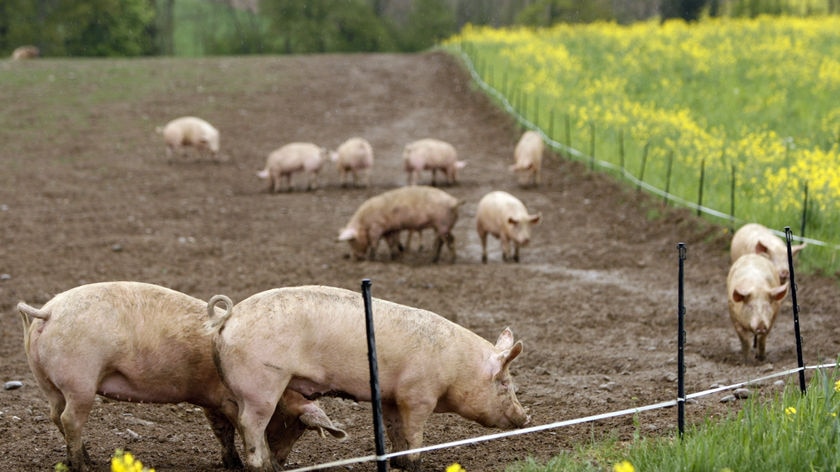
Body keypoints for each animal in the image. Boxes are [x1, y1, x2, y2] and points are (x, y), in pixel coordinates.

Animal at [16, 282, 344, 470]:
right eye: (294, 427)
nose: (281, 464)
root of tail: (48, 312)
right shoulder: (229, 401)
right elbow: (239, 430)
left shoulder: (212, 401)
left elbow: (221, 432)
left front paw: (231, 463)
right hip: (80, 380)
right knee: (70, 419)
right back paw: (83, 467)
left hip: (47, 381)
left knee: (55, 416)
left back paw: (85, 459)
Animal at [207, 284, 528, 472]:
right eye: (504, 383)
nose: (525, 417)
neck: (456, 366)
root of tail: (228, 317)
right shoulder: (417, 396)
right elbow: (415, 433)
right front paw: (416, 464)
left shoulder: (391, 398)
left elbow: (396, 432)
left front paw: (399, 463)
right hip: (261, 386)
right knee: (251, 425)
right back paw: (262, 467)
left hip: (246, 390)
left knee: (245, 423)